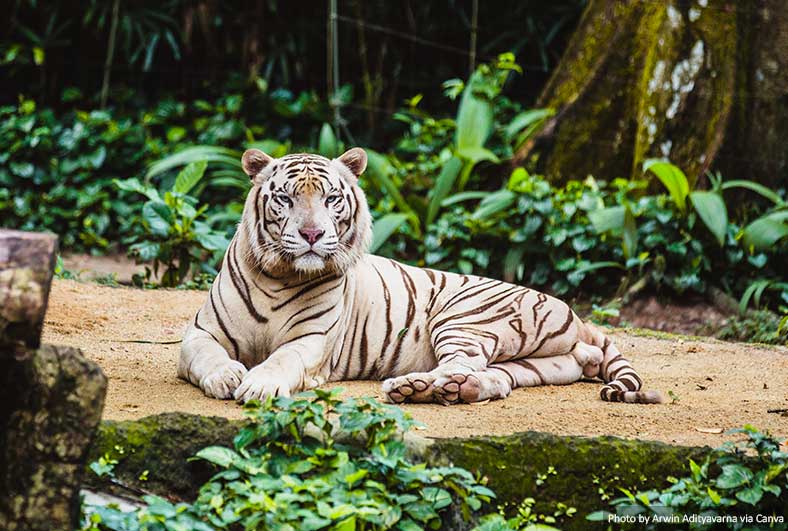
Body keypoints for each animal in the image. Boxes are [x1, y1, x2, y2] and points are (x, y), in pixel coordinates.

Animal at [177, 148, 660, 406]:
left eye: (331, 199)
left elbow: (282, 359)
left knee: (463, 364)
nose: (312, 234)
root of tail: (576, 314)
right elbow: (208, 356)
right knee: (496, 379)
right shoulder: (201, 333)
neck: (279, 276)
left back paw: (417, 387)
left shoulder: (312, 341)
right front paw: (226, 377)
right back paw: (443, 390)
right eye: (286, 199)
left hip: (465, 319)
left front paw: (258, 384)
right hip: (538, 364)